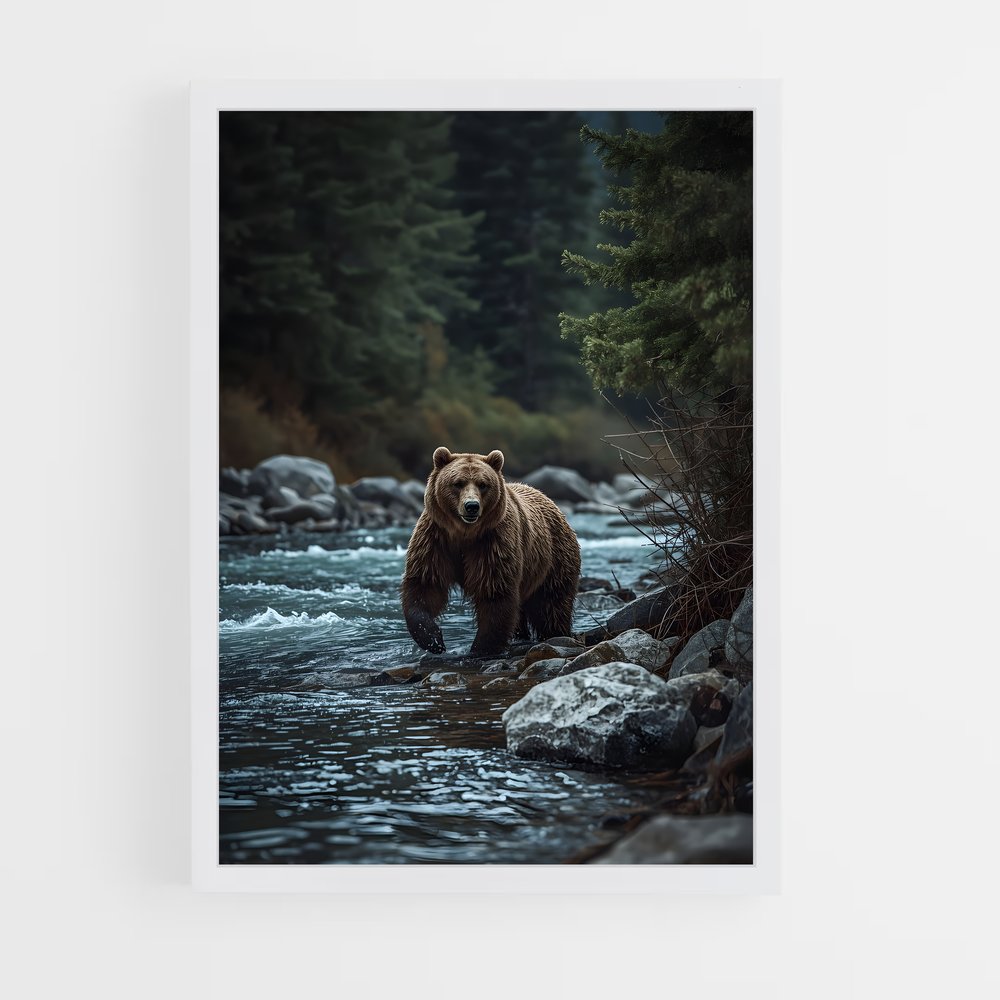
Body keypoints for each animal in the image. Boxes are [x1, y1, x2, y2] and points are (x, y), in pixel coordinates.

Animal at [401, 447, 581, 656]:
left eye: (483, 484)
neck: (464, 534)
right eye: (458, 483)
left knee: (551, 605)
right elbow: (425, 585)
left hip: (554, 559)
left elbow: (495, 593)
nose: (471, 506)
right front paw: (433, 639)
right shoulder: (436, 540)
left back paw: (556, 634)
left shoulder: (493, 543)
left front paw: (481, 648)